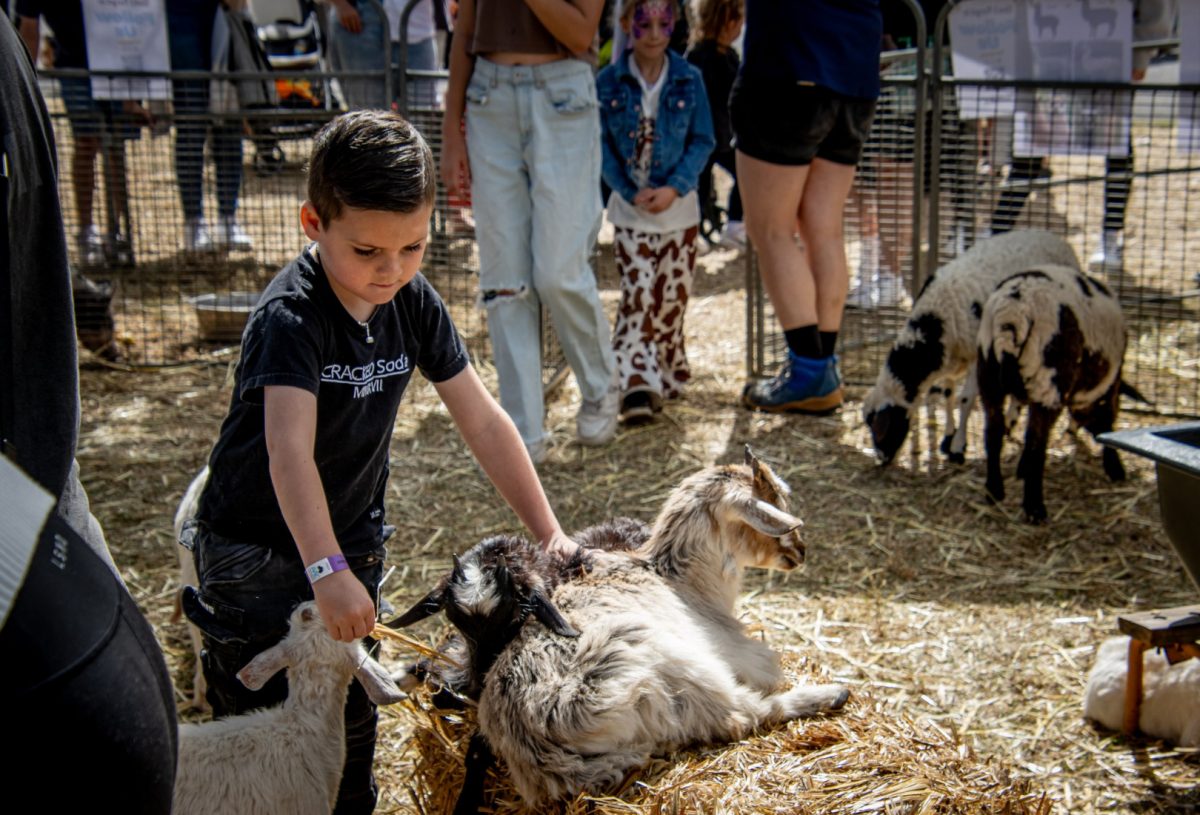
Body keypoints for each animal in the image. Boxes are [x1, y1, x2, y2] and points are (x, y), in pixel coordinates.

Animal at [391, 446, 844, 811]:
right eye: (774, 504)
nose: (801, 552)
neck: (681, 582)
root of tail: (538, 753)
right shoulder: (744, 657)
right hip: (678, 674)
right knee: (742, 714)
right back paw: (829, 694)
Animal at [859, 231, 1084, 472]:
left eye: (884, 426)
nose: (881, 460)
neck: (936, 320)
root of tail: (1056, 239)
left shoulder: (977, 357)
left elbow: (965, 400)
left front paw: (958, 447)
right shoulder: (952, 359)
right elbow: (948, 393)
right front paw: (948, 437)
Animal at [979, 264, 1128, 525]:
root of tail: (1012, 315)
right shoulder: (1107, 388)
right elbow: (1108, 422)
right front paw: (1114, 467)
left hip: (989, 376)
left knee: (993, 433)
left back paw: (994, 490)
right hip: (1047, 380)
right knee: (1037, 445)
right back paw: (1034, 507)